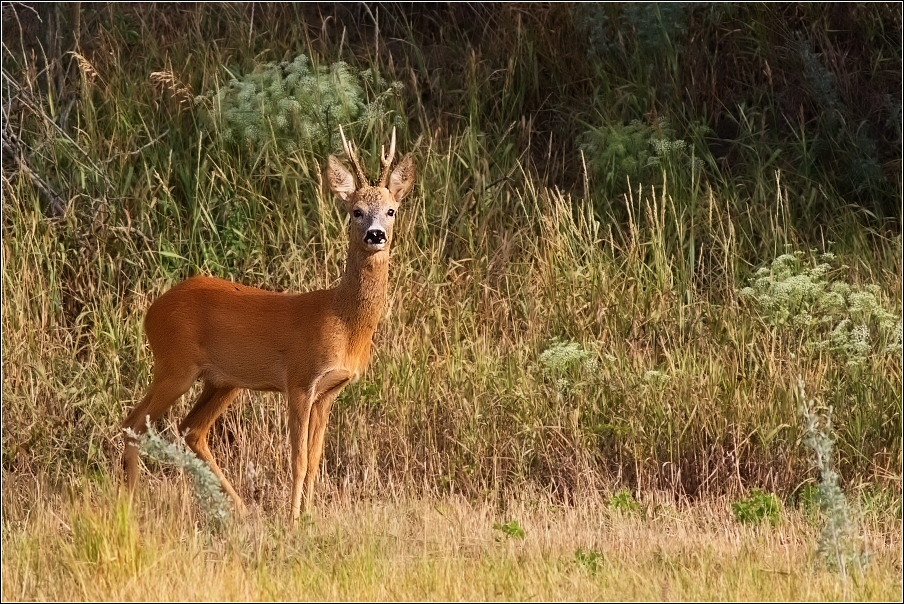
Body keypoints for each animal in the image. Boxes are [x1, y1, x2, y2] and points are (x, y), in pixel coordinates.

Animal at [121, 126, 416, 520]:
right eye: (356, 211)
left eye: (391, 210)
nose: (376, 235)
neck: (343, 322)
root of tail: (151, 311)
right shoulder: (300, 381)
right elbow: (298, 460)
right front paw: (292, 519)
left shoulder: (329, 392)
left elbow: (315, 458)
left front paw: (310, 515)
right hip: (175, 365)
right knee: (135, 422)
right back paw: (129, 502)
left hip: (223, 380)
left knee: (190, 429)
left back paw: (239, 508)